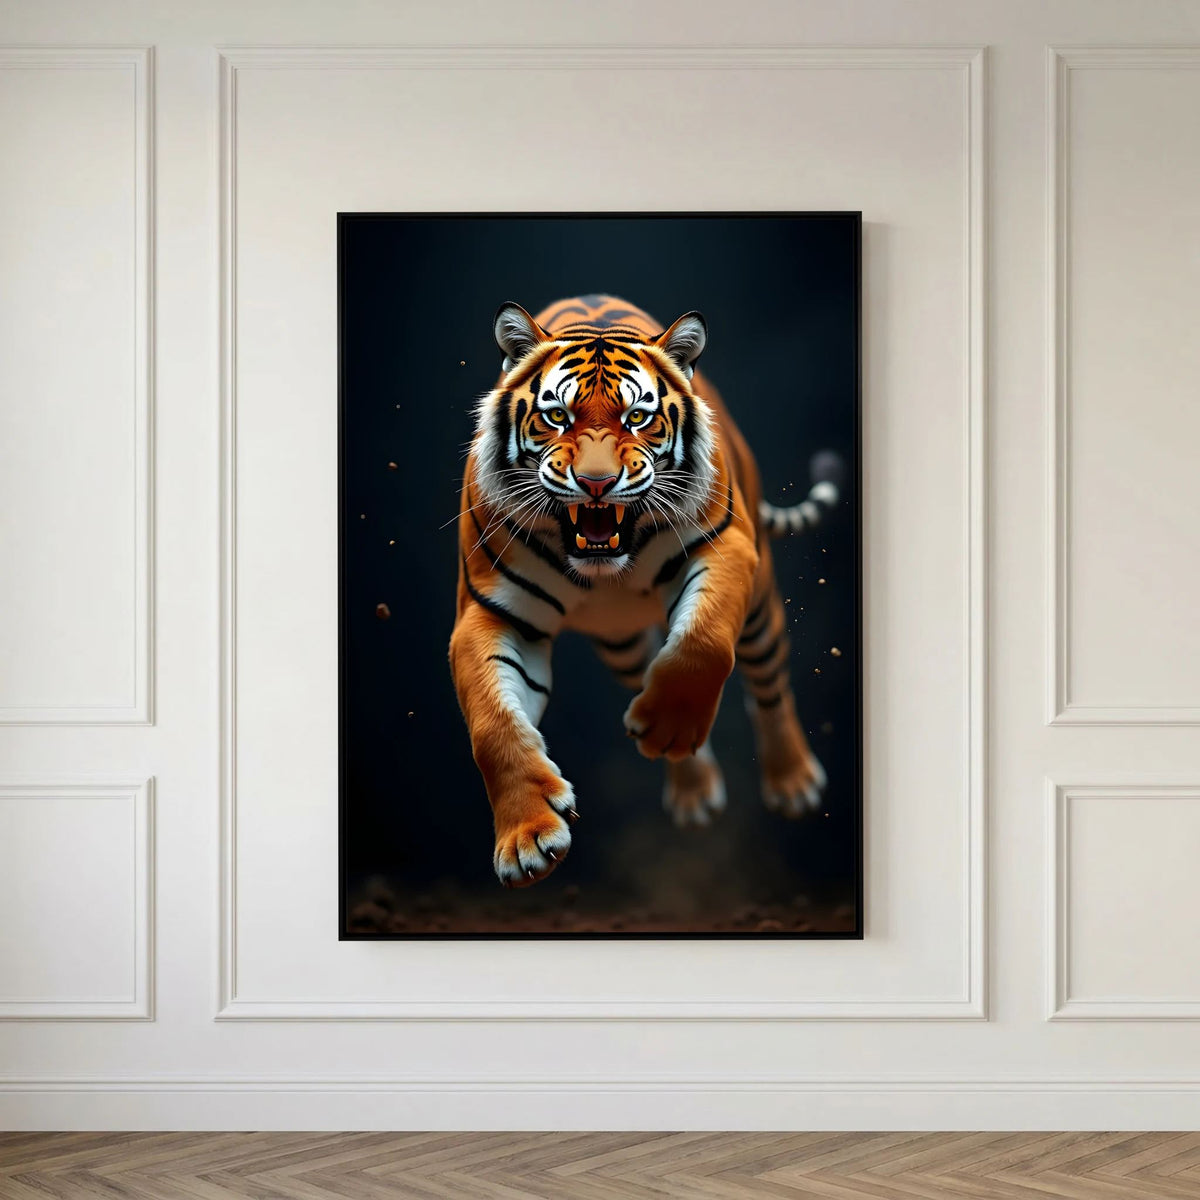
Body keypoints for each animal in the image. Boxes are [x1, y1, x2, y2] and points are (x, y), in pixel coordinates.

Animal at [450, 294, 841, 887]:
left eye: (638, 417)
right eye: (557, 416)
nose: (596, 483)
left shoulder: (726, 549)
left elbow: (703, 643)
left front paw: (670, 726)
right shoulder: (488, 613)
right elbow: (492, 727)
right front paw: (527, 841)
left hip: (760, 610)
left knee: (768, 686)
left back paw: (792, 781)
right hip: (620, 643)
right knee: (648, 668)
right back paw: (692, 789)